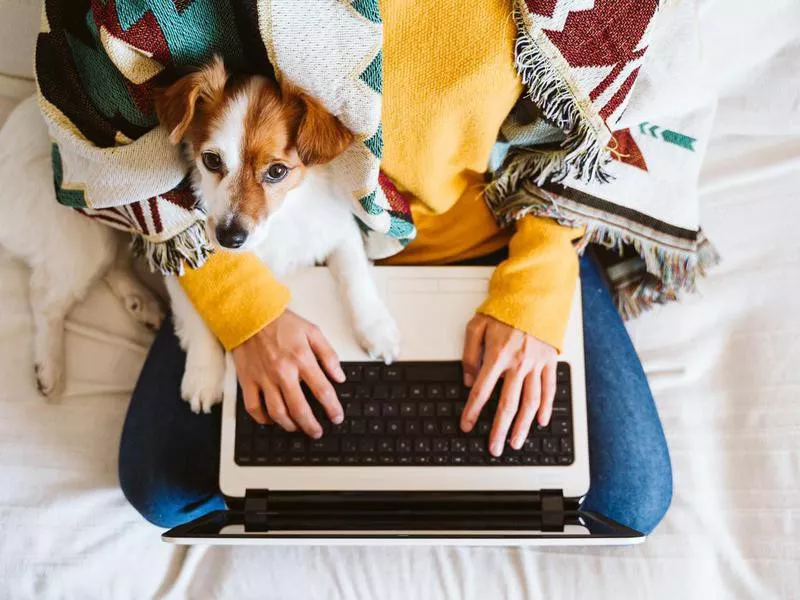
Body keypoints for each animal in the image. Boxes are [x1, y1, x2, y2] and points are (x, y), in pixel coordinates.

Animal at [156, 59, 404, 412]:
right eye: (212, 160)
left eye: (277, 171)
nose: (229, 238)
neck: (277, 223)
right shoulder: (182, 257)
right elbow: (196, 312)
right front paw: (203, 374)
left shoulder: (338, 231)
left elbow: (354, 276)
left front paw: (376, 327)